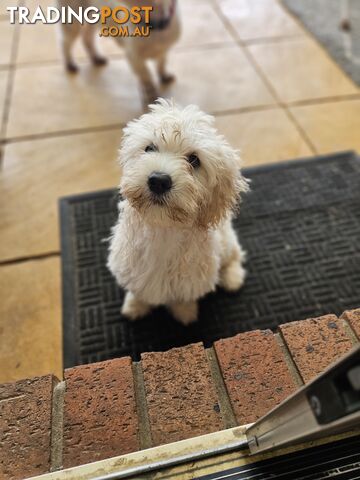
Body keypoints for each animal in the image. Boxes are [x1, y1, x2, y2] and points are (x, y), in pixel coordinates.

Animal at [108, 101, 249, 326]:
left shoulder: (192, 279)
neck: (164, 229)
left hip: (226, 242)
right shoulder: (130, 266)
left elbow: (184, 297)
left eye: (194, 160)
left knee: (234, 254)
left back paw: (233, 278)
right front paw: (134, 306)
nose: (158, 181)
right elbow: (138, 290)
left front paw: (185, 313)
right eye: (149, 148)